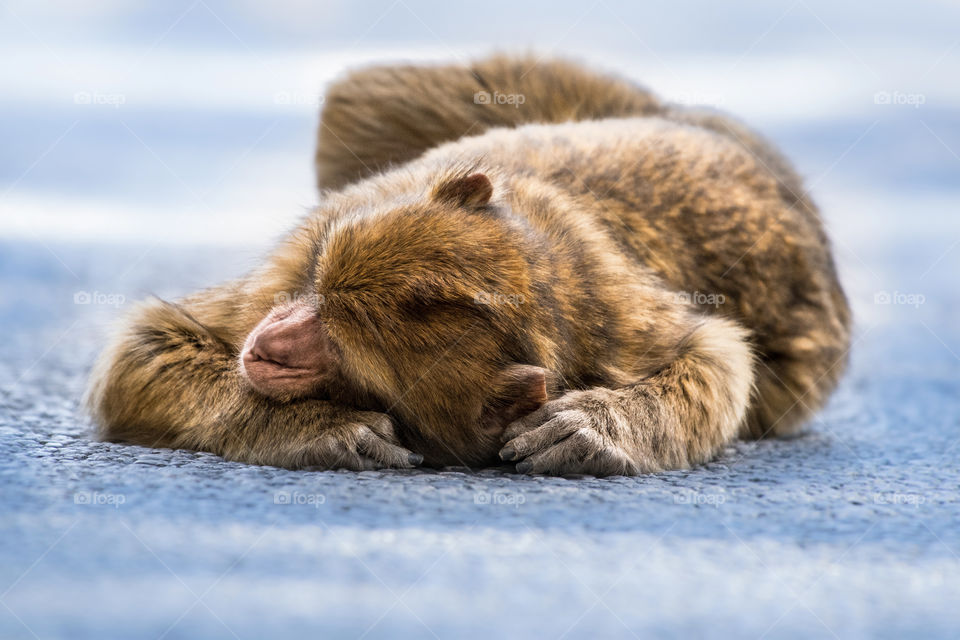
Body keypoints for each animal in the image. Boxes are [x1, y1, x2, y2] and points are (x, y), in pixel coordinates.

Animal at [88, 55, 848, 476]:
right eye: (317, 293)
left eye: (337, 353)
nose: (270, 344)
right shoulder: (297, 261)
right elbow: (143, 352)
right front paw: (316, 431)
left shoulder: (614, 322)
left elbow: (717, 357)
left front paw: (593, 432)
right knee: (367, 97)